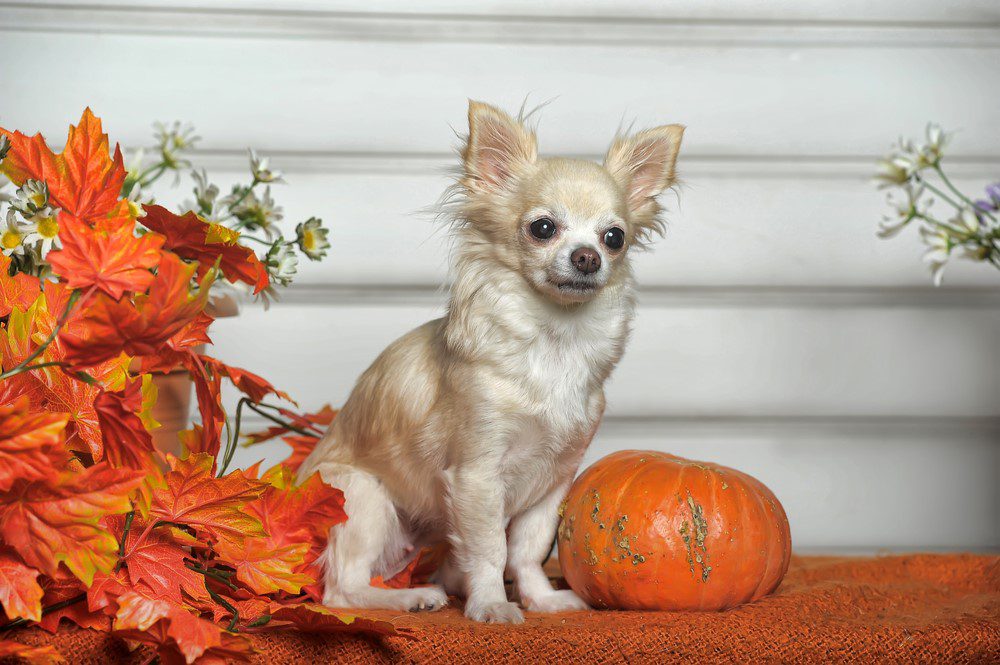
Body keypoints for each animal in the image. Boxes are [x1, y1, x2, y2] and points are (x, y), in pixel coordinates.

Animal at [296, 100, 684, 624]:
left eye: (614, 237)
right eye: (543, 228)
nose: (587, 257)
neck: (553, 343)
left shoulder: (554, 477)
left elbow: (526, 549)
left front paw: (540, 599)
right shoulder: (477, 475)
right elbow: (489, 550)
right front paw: (492, 604)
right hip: (363, 497)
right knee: (342, 590)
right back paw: (408, 597)